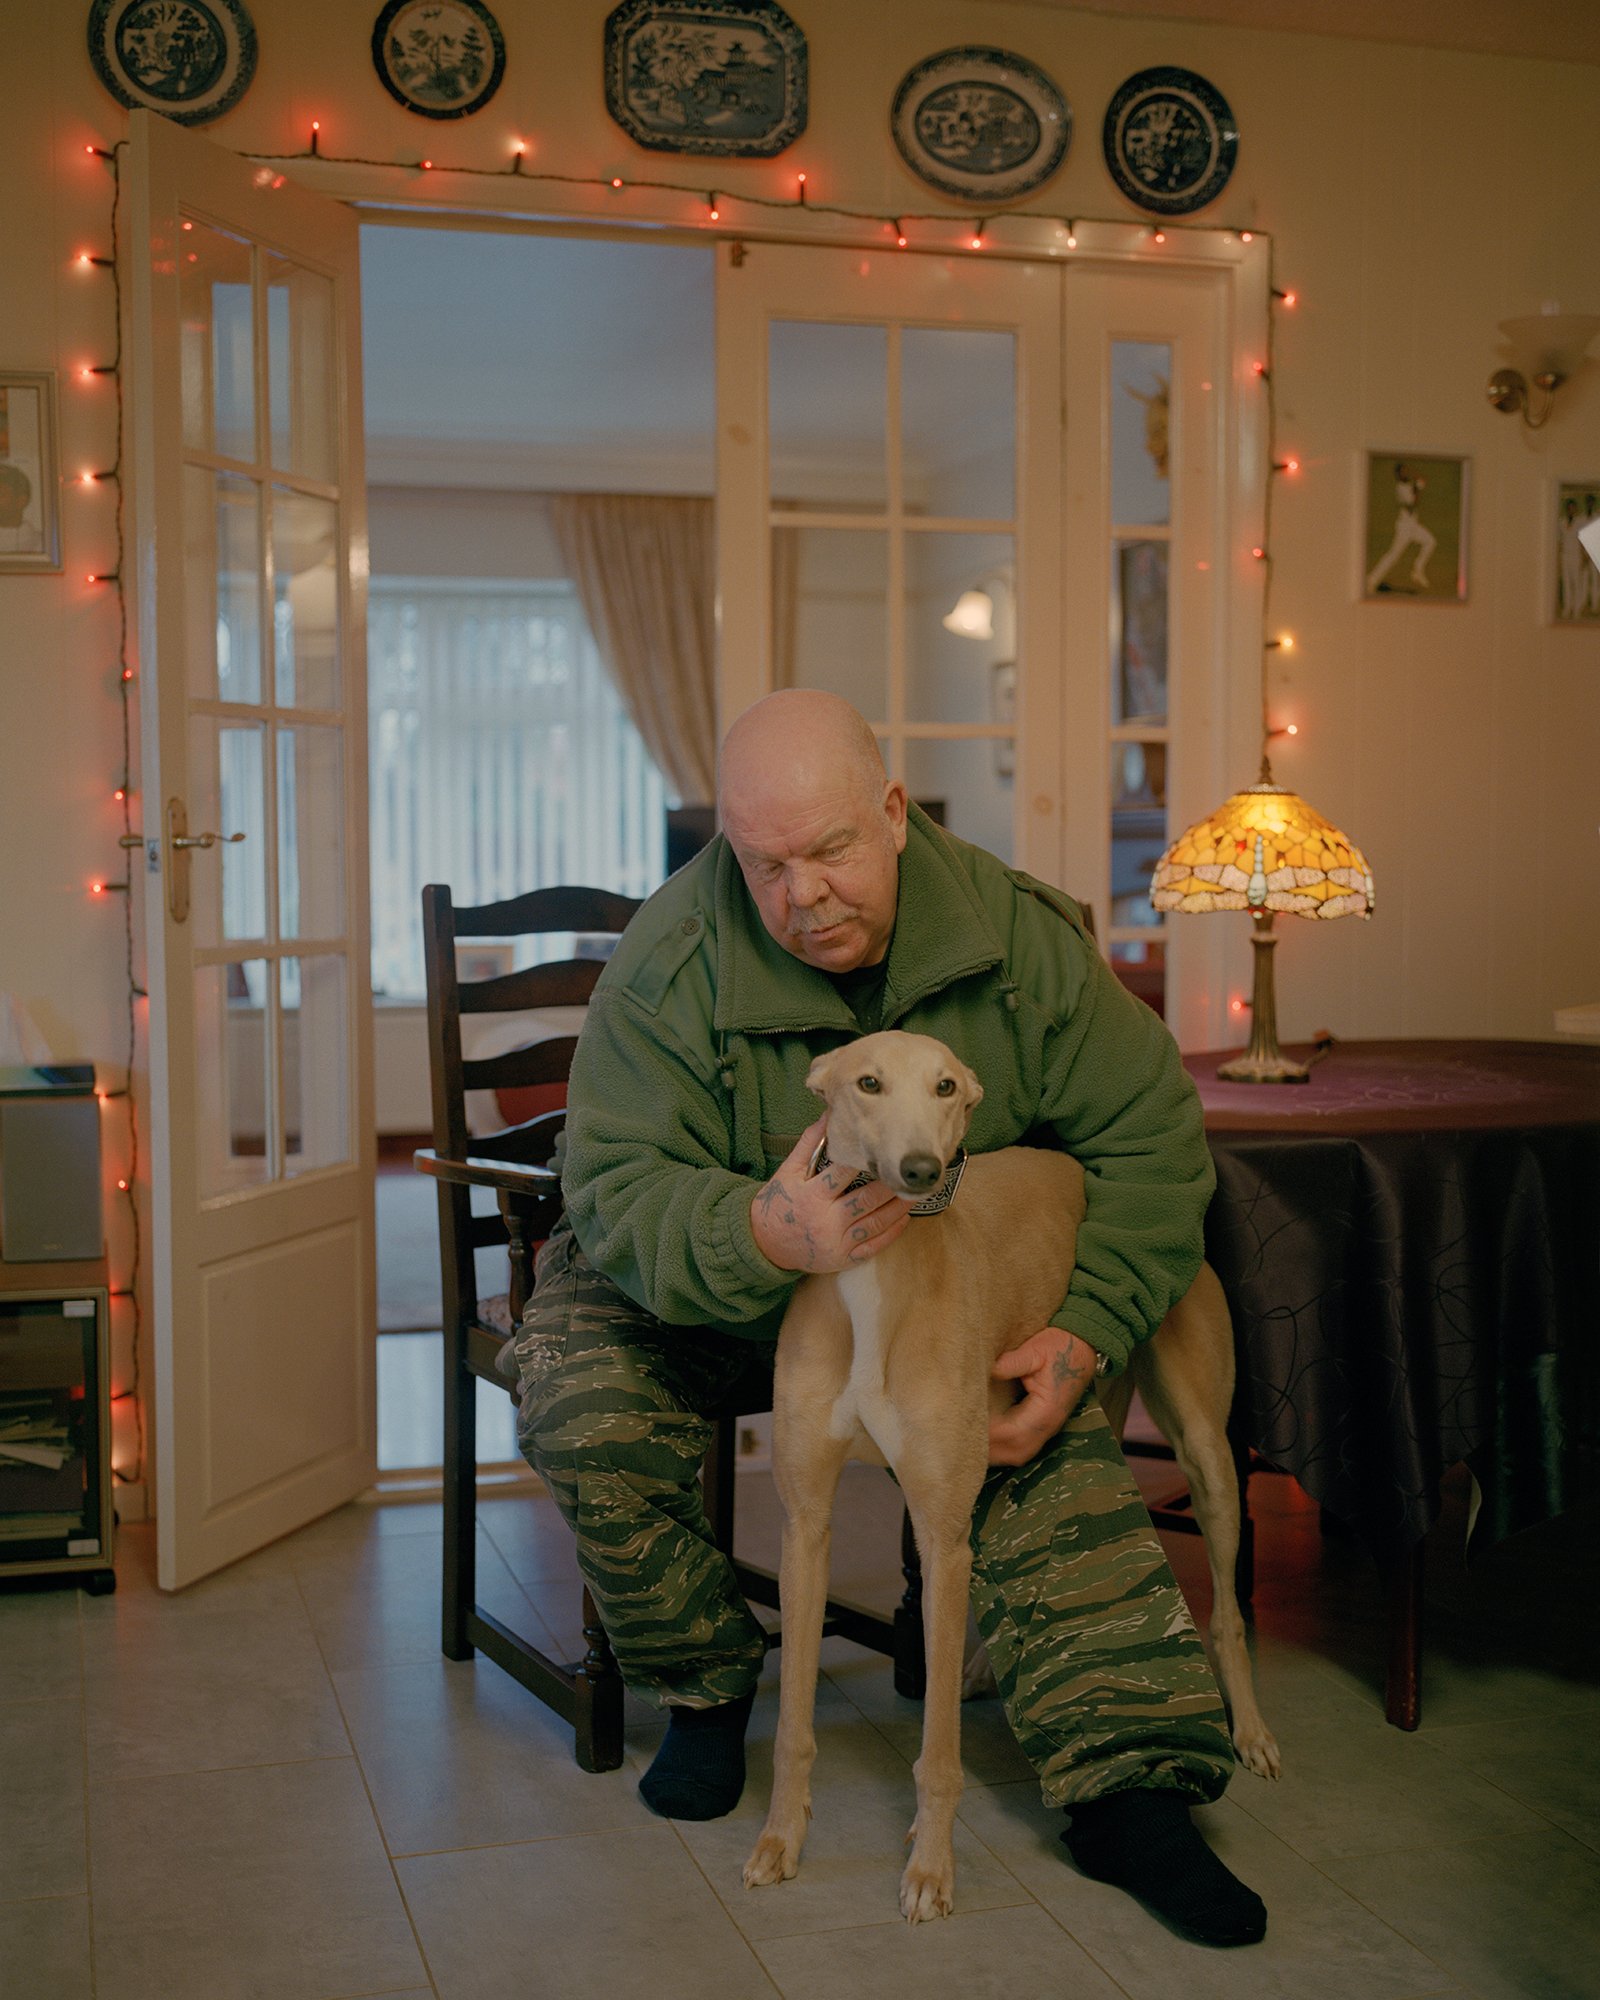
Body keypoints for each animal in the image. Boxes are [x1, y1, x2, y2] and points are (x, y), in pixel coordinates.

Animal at [744, 1032, 1280, 1920]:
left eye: (946, 1087)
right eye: (867, 1082)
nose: (921, 1169)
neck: (873, 1284)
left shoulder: (938, 1527)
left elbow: (938, 1754)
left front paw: (930, 1869)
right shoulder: (805, 1526)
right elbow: (792, 1724)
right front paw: (779, 1841)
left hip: (1205, 1452)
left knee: (1231, 1612)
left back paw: (1252, 1732)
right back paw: (976, 1671)